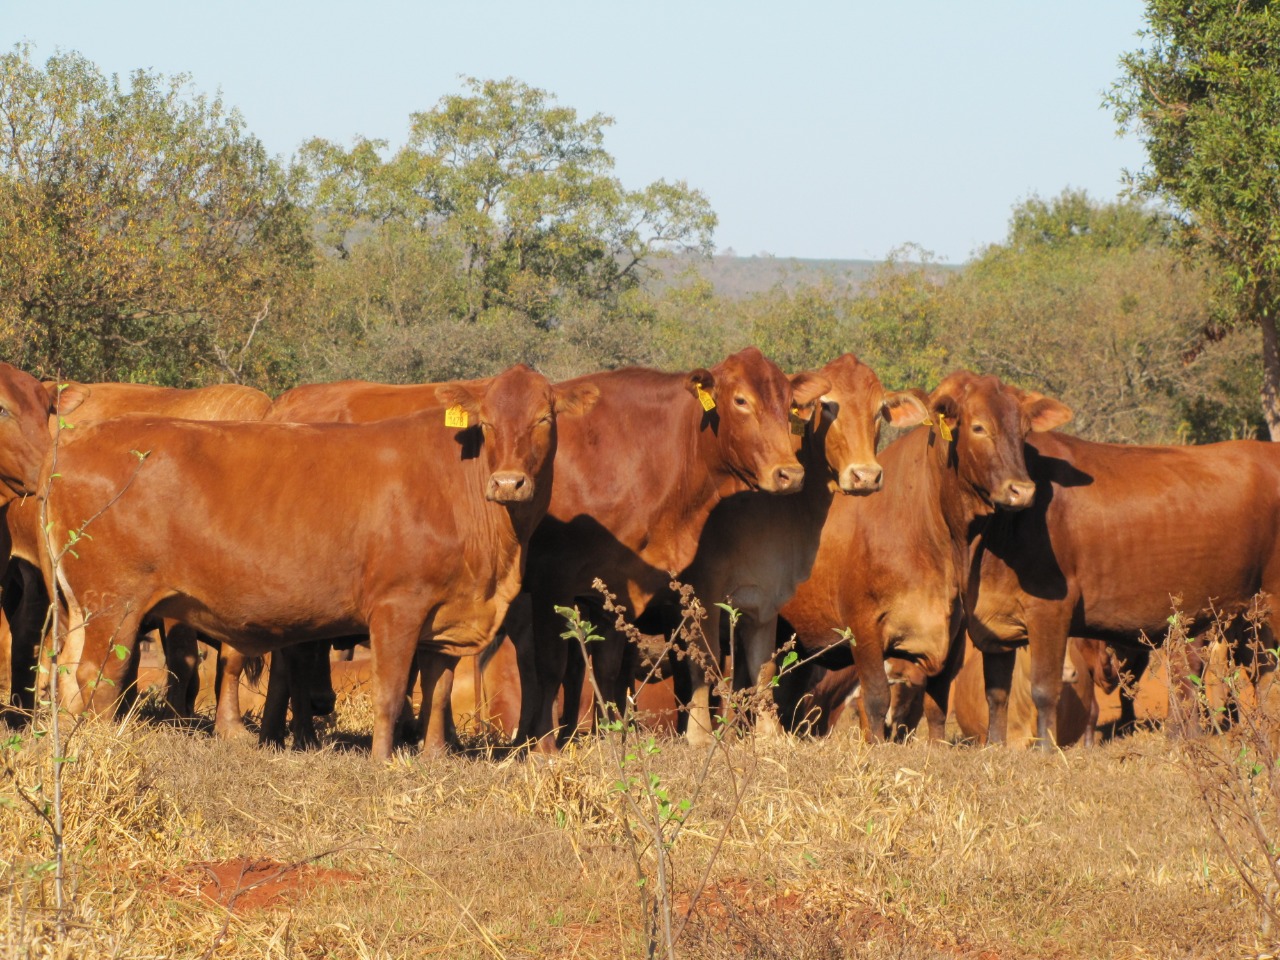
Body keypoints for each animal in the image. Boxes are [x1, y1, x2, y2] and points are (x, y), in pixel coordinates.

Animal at [38, 363, 593, 762]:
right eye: (488, 424)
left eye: (544, 419)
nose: (508, 482)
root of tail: (77, 442)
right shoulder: (397, 607)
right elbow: (392, 690)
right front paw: (383, 762)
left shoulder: (444, 613)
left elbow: (435, 690)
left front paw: (435, 756)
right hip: (114, 604)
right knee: (98, 677)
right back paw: (104, 747)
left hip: (81, 607)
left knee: (66, 673)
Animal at [517, 345, 829, 752]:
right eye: (741, 400)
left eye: (789, 402)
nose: (789, 474)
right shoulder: (551, 581)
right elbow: (552, 665)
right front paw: (544, 745)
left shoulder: (614, 586)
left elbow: (606, 667)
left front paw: (611, 736)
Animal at [675, 358, 926, 747]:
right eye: (828, 407)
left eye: (878, 411)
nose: (866, 475)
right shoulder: (705, 587)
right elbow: (707, 657)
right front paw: (700, 734)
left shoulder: (765, 598)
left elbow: (763, 668)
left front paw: (768, 733)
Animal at [773, 371, 1075, 742]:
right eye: (978, 426)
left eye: (1024, 430)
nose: (1022, 490)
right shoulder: (864, 627)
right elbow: (876, 698)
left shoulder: (954, 637)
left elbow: (937, 704)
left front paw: (936, 746)